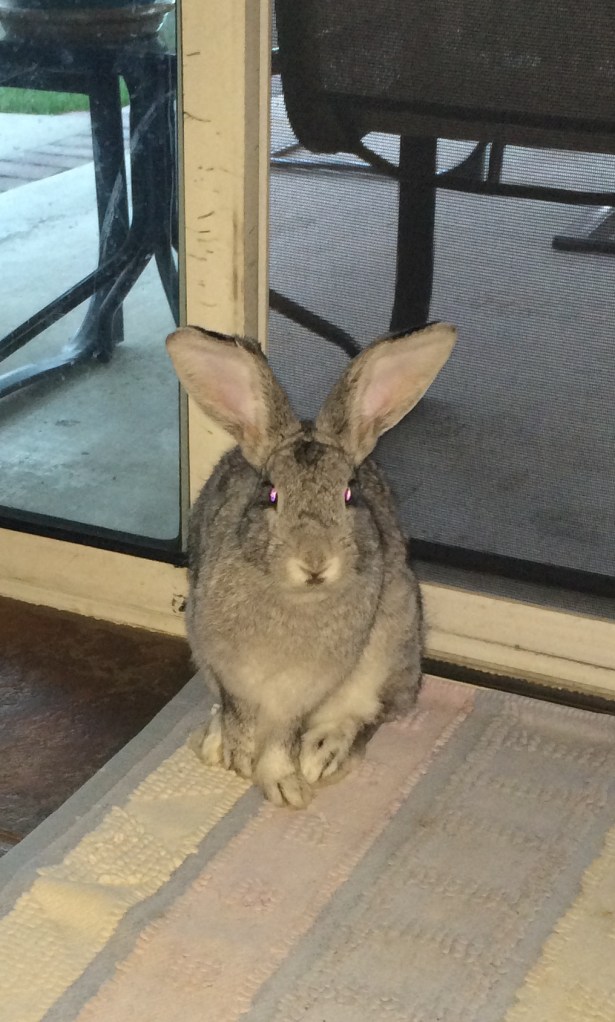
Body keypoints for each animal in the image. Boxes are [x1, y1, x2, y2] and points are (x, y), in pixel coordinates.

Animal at [166, 322, 456, 808]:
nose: (315, 561)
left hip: (393, 646)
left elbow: (284, 738)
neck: (296, 600)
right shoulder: (228, 672)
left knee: (371, 716)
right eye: (270, 493)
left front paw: (286, 787)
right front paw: (236, 756)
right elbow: (239, 715)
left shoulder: (305, 693)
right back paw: (212, 740)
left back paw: (323, 755)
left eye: (349, 493)